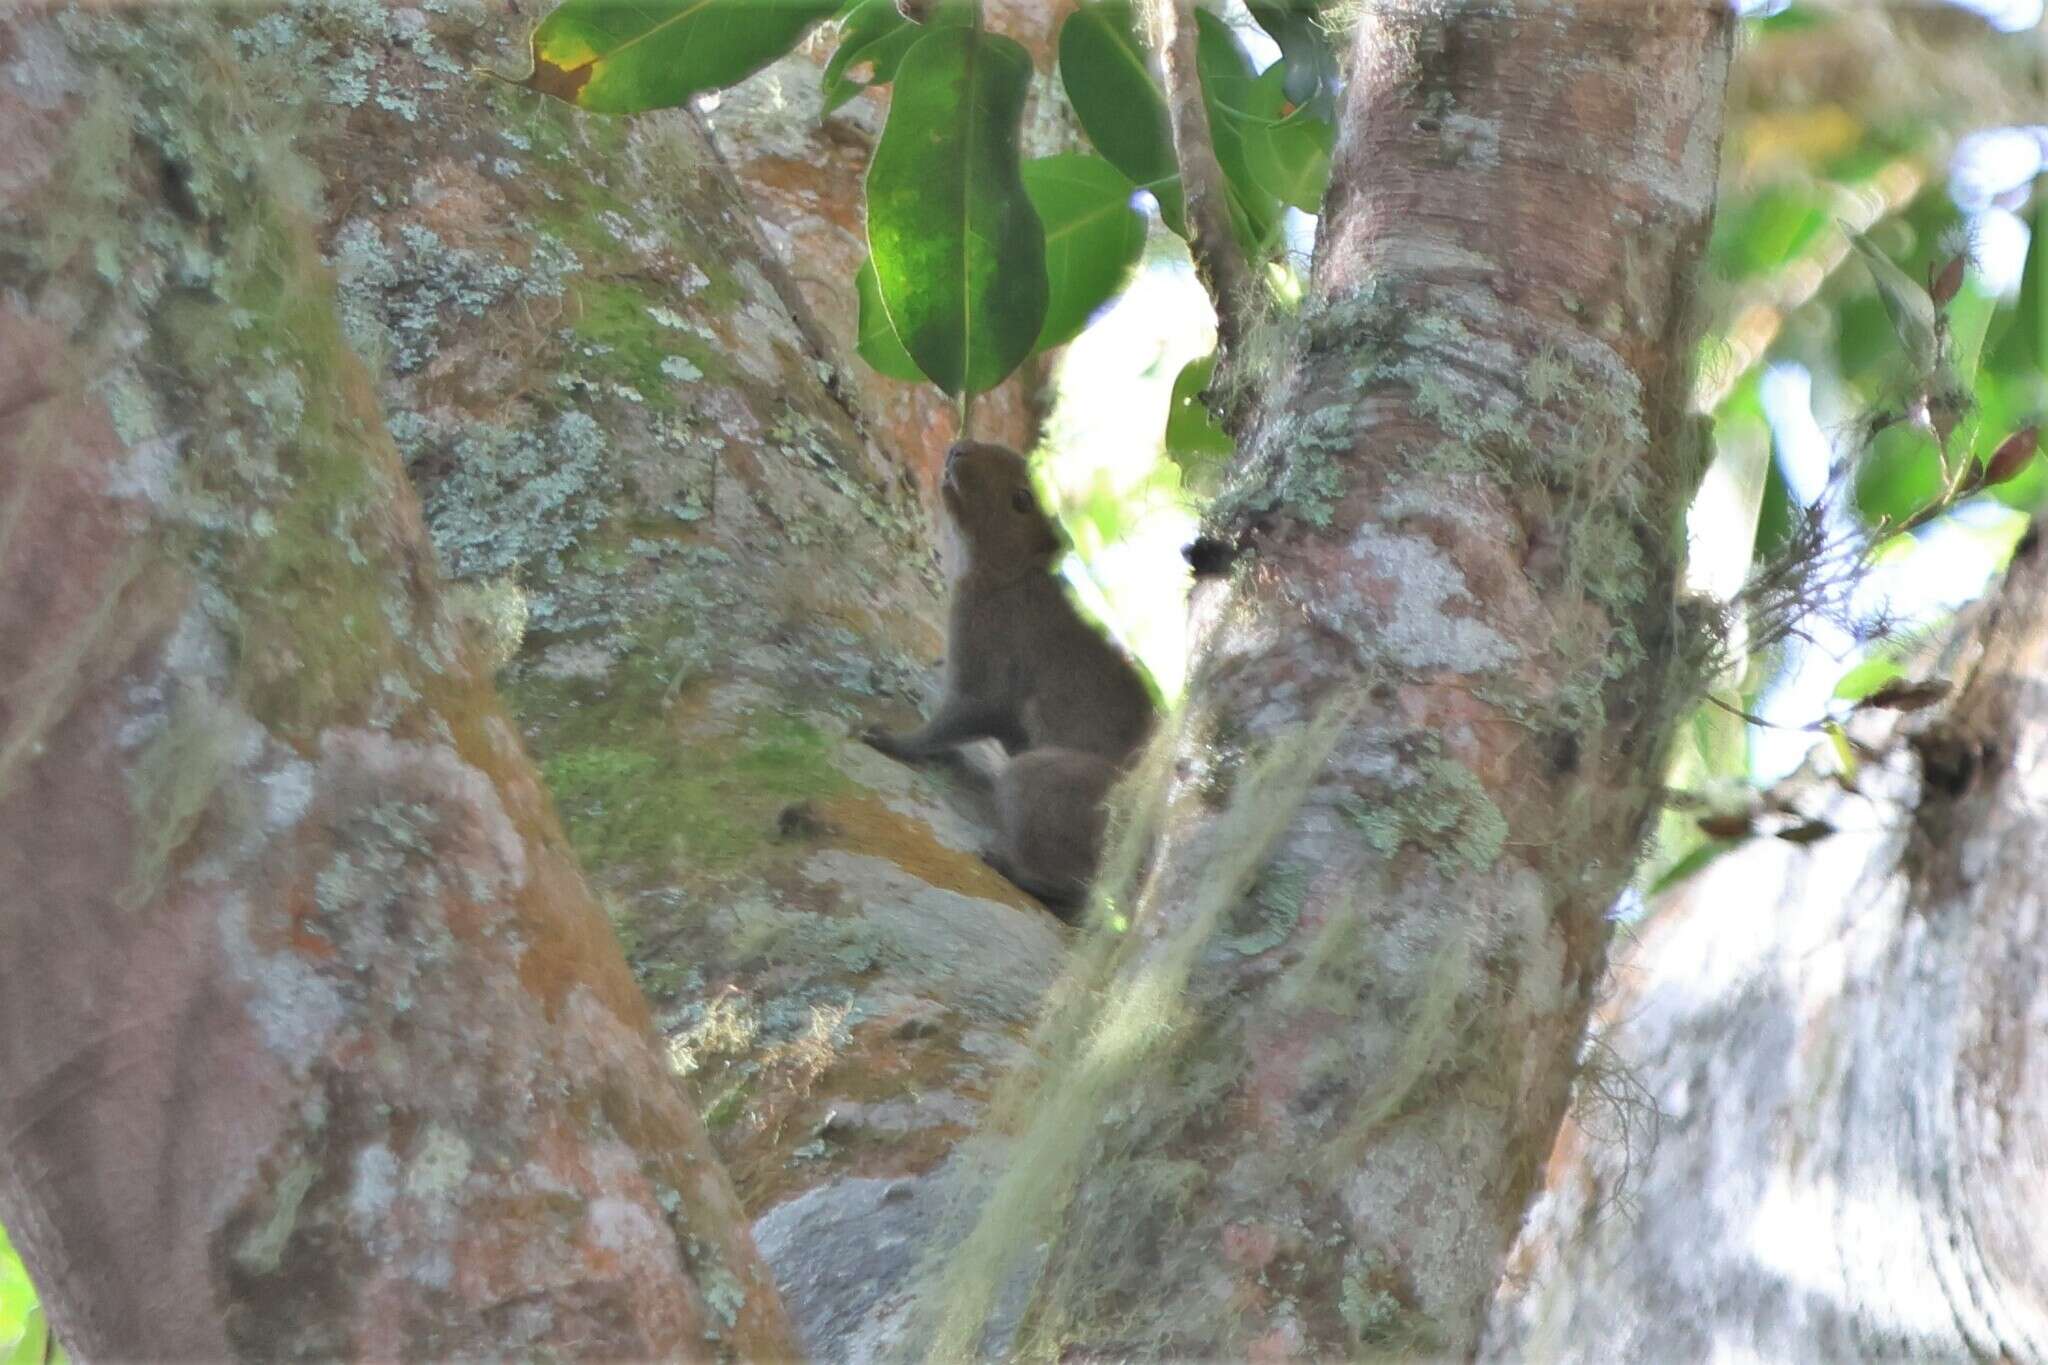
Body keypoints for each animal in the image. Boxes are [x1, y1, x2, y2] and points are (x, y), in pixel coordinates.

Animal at [860, 446, 1155, 916]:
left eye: (1021, 501)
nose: (959, 448)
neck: (1014, 576)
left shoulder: (988, 669)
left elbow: (948, 723)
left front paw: (892, 740)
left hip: (1038, 779)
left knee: (1071, 885)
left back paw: (1010, 866)